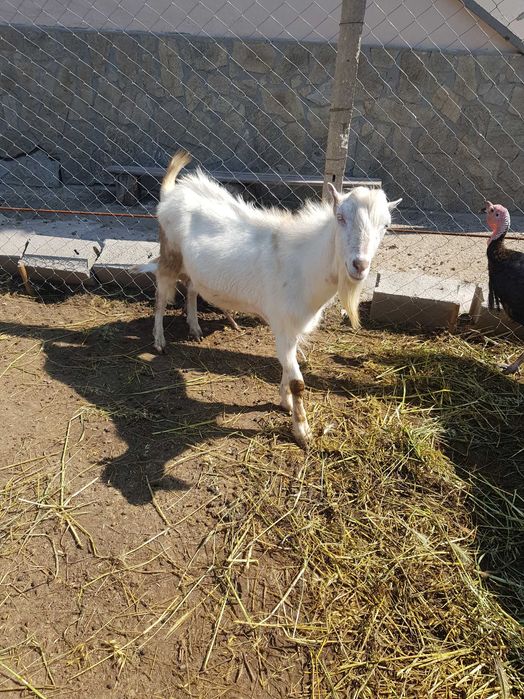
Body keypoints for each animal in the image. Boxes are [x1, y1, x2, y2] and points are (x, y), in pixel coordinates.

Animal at [150, 151, 401, 447]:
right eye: (340, 217)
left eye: (386, 225)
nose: (359, 265)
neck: (304, 266)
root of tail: (171, 193)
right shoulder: (282, 324)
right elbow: (298, 382)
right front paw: (302, 432)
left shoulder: (294, 328)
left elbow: (286, 369)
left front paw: (286, 403)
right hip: (169, 254)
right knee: (160, 296)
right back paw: (159, 341)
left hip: (192, 267)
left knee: (190, 288)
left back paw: (195, 328)